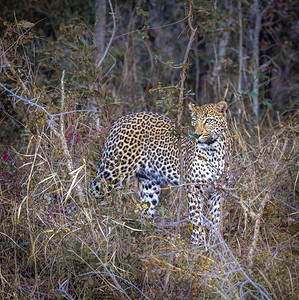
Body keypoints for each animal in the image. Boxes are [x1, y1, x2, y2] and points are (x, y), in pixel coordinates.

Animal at [90, 101, 229, 244]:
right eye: (194, 121)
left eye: (208, 120)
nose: (197, 135)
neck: (213, 152)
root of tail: (120, 119)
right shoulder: (193, 189)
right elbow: (196, 219)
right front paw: (199, 244)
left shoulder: (218, 191)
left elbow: (215, 218)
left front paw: (215, 242)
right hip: (114, 171)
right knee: (95, 189)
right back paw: (96, 223)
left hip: (149, 184)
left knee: (145, 211)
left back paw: (146, 238)